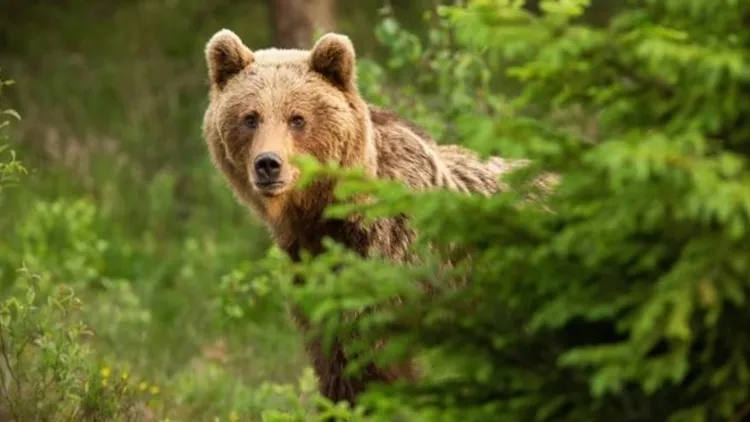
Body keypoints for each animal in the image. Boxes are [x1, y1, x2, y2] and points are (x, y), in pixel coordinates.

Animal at [200, 28, 524, 406]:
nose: (268, 164)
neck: (325, 214)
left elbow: (372, 361)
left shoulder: (390, 260)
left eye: (297, 118)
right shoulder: (311, 272)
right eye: (250, 117)